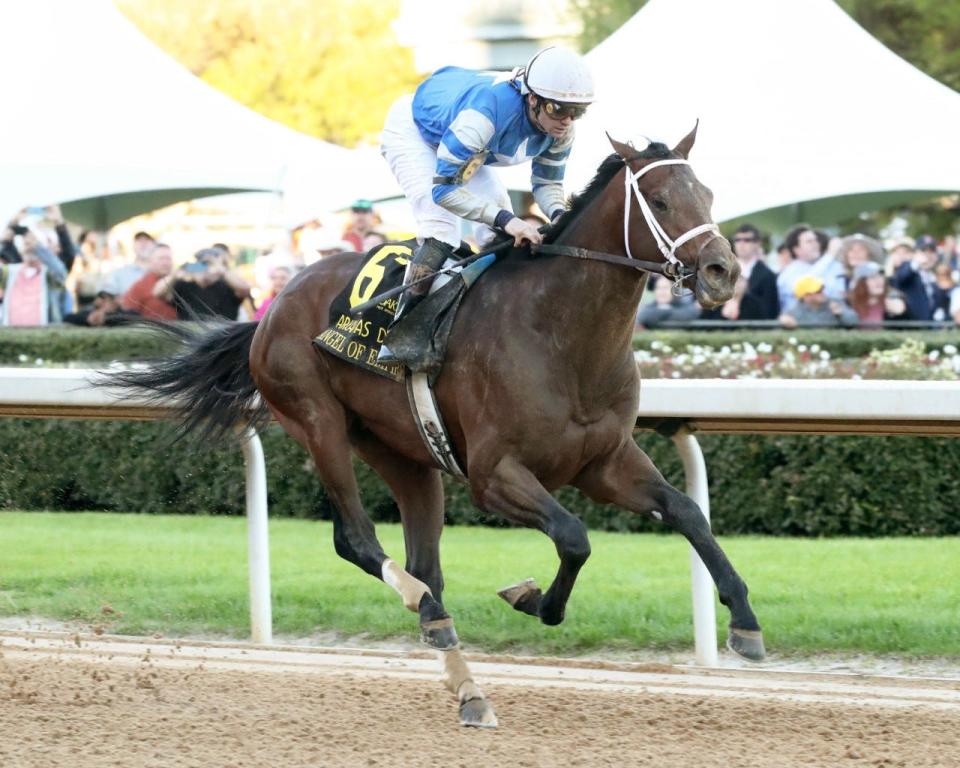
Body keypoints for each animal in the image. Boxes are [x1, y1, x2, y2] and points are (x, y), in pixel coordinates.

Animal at [109, 126, 764, 728]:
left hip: (405, 455)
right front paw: (533, 599)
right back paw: (421, 607)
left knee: (426, 563)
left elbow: (687, 512)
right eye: (658, 199)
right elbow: (575, 536)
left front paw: (745, 623)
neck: (562, 334)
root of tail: (272, 306)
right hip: (317, 421)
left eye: (706, 192)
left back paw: (465, 682)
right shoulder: (494, 475)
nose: (722, 271)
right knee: (359, 541)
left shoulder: (604, 462)